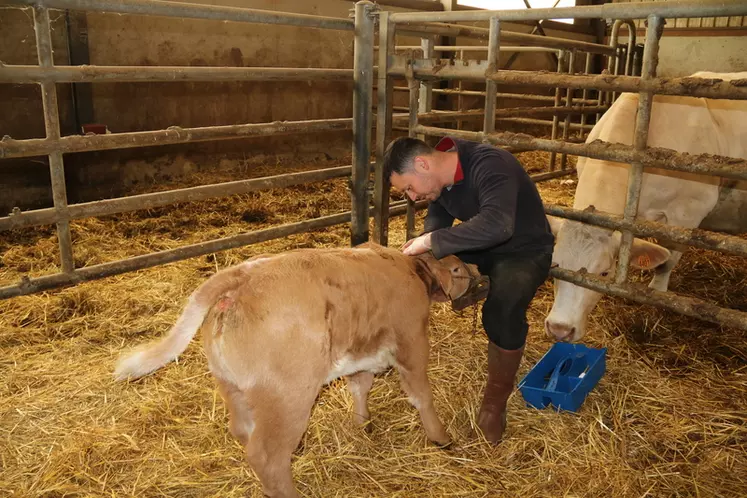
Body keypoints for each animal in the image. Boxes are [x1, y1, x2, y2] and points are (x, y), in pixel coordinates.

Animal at [114, 242, 482, 498]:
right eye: (458, 268)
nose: (480, 273)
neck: (408, 269)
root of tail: (243, 275)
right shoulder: (412, 340)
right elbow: (421, 395)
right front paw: (441, 437)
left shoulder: (361, 351)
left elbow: (360, 385)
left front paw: (362, 424)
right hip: (289, 395)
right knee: (266, 455)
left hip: (231, 385)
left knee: (244, 431)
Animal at [548, 72, 744, 342]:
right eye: (555, 263)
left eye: (604, 273)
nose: (560, 328)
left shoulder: (688, 213)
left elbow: (666, 261)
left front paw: (657, 293)